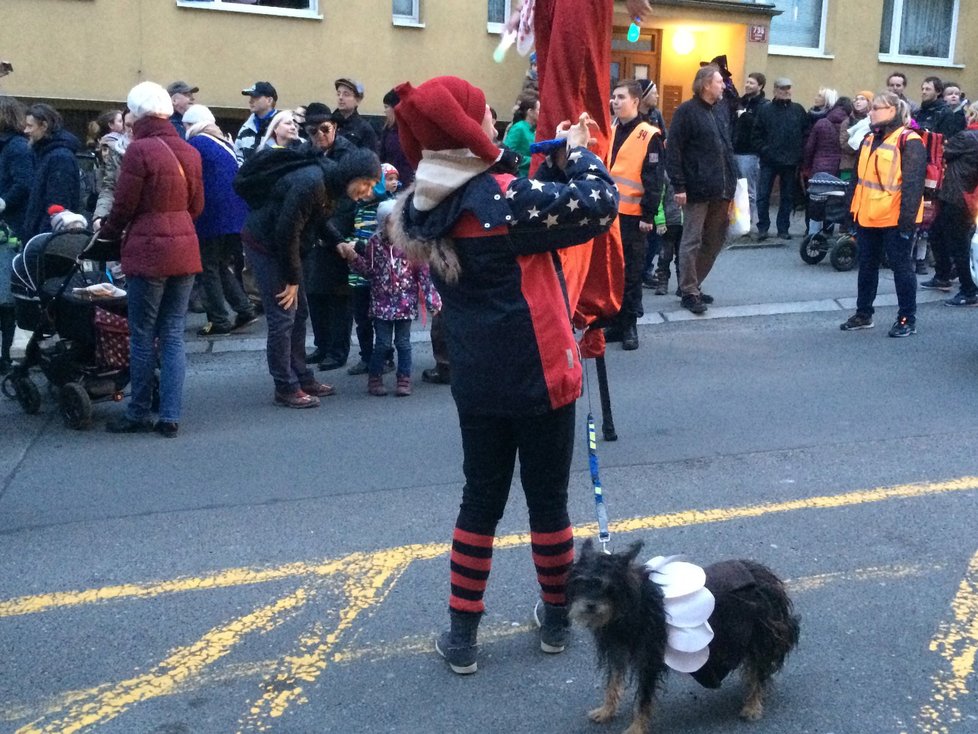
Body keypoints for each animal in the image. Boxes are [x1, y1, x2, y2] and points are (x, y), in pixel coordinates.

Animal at [568, 540, 796, 734]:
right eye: (581, 583)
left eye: (608, 586)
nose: (589, 606)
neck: (631, 604)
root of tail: (767, 577)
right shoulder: (618, 653)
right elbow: (612, 684)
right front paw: (606, 710)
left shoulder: (649, 660)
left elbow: (643, 699)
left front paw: (637, 727)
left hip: (757, 636)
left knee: (758, 670)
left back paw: (753, 705)